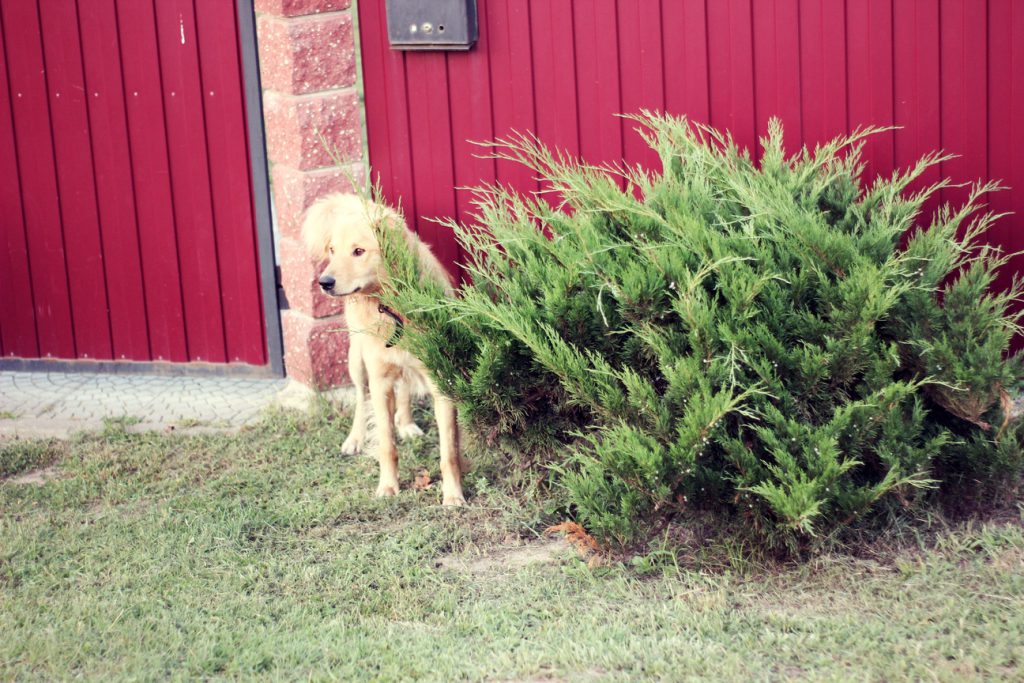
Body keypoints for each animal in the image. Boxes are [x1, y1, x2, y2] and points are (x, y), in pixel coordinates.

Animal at [301, 194, 466, 505]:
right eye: (332, 250)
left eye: (359, 251)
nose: (324, 283)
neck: (390, 305)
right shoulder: (379, 382)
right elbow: (387, 444)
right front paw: (388, 487)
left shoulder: (440, 381)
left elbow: (449, 452)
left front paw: (453, 495)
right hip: (357, 362)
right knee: (359, 396)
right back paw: (355, 438)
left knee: (404, 388)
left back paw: (406, 423)